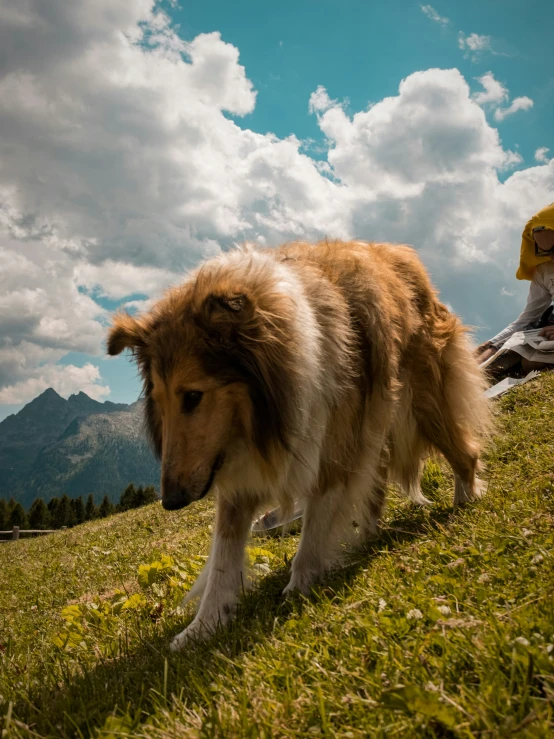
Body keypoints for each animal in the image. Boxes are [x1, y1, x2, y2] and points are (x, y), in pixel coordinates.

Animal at [105, 240, 490, 652]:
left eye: (193, 396)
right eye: (158, 401)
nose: (171, 501)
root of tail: (402, 255)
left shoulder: (333, 448)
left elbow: (315, 528)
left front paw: (299, 588)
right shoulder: (238, 475)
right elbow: (224, 553)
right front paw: (203, 625)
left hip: (424, 403)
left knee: (465, 452)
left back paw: (466, 499)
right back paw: (367, 535)